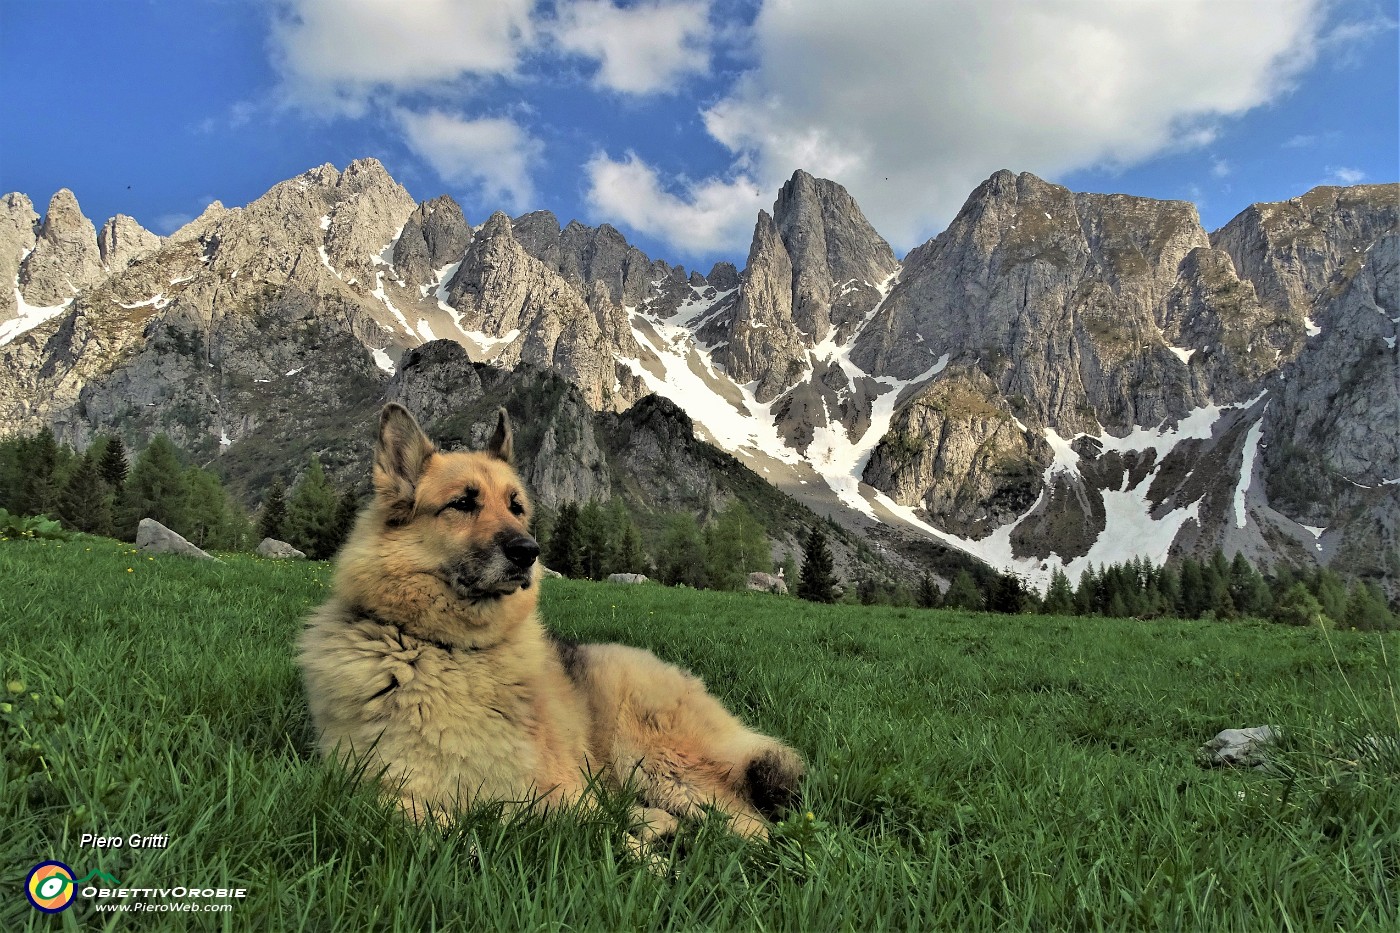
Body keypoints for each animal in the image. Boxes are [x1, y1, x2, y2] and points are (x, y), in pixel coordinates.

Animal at [301, 403, 806, 840]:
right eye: (462, 503)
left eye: (516, 507)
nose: (528, 552)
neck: (452, 651)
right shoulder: (367, 787)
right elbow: (430, 819)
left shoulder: (564, 791)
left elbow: (601, 834)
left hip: (658, 762)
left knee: (755, 829)